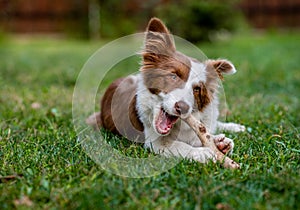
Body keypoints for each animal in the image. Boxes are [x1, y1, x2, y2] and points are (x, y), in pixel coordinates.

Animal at [86, 17, 244, 162]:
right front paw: (204, 152)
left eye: (197, 89)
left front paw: (220, 143)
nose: (182, 107)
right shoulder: (154, 143)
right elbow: (179, 145)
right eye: (173, 76)